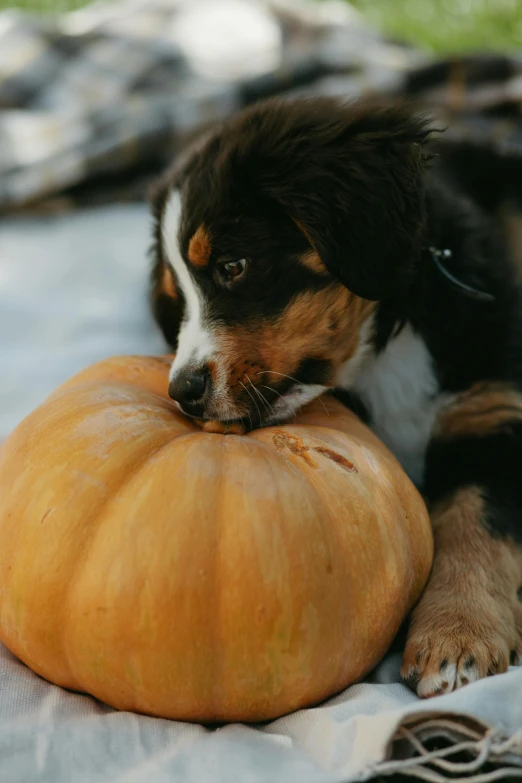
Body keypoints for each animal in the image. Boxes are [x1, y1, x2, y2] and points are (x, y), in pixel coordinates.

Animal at [147, 96, 520, 700]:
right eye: (175, 301)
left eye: (233, 266)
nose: (182, 392)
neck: (385, 352)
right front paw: (457, 637)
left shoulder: (490, 411)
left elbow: (474, 524)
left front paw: (457, 636)